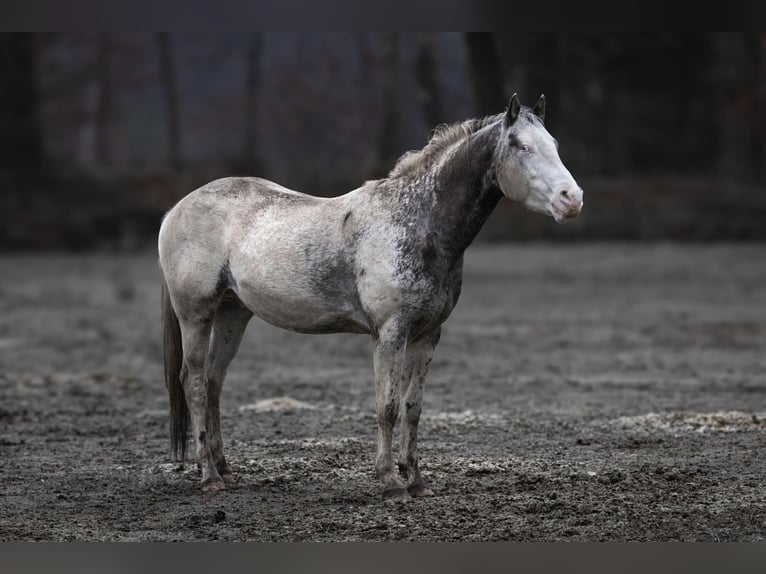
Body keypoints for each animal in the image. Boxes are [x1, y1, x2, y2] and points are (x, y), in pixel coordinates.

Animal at [158, 93, 583, 501]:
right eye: (521, 146)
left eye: (554, 144)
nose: (572, 199)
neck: (415, 222)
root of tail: (175, 209)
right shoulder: (390, 333)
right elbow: (388, 407)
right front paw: (391, 483)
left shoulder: (427, 335)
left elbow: (413, 409)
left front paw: (417, 481)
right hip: (196, 314)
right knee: (193, 382)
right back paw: (210, 477)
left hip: (233, 314)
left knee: (214, 380)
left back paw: (223, 466)